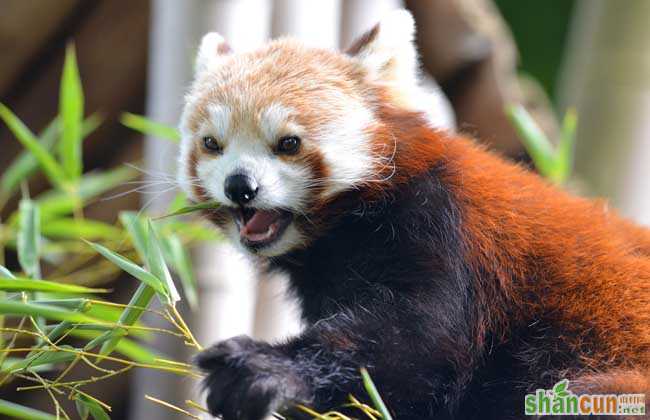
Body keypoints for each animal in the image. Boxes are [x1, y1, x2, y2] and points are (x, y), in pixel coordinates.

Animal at [178, 9, 648, 420]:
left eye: (288, 143)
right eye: (212, 144)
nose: (240, 186)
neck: (342, 234)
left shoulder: (444, 229)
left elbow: (417, 339)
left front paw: (266, 368)